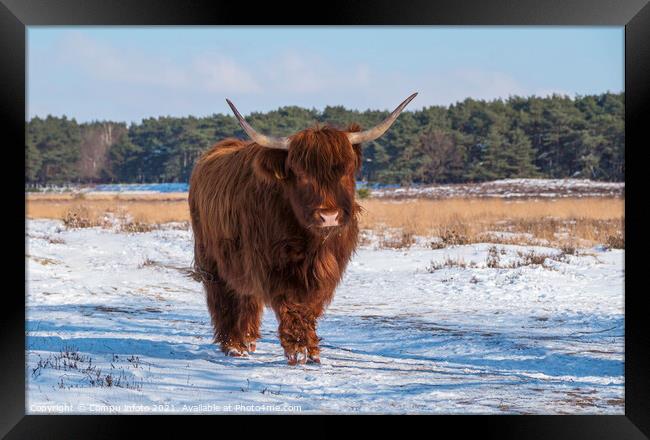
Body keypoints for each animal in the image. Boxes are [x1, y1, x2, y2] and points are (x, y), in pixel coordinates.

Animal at [187, 92, 416, 364]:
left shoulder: (326, 271)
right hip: (212, 261)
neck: (313, 245)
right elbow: (292, 306)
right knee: (224, 299)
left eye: (346, 170)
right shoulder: (275, 268)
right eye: (300, 173)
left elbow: (310, 307)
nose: (329, 216)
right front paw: (299, 350)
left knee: (247, 298)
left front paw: (312, 350)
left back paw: (248, 341)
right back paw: (233, 345)